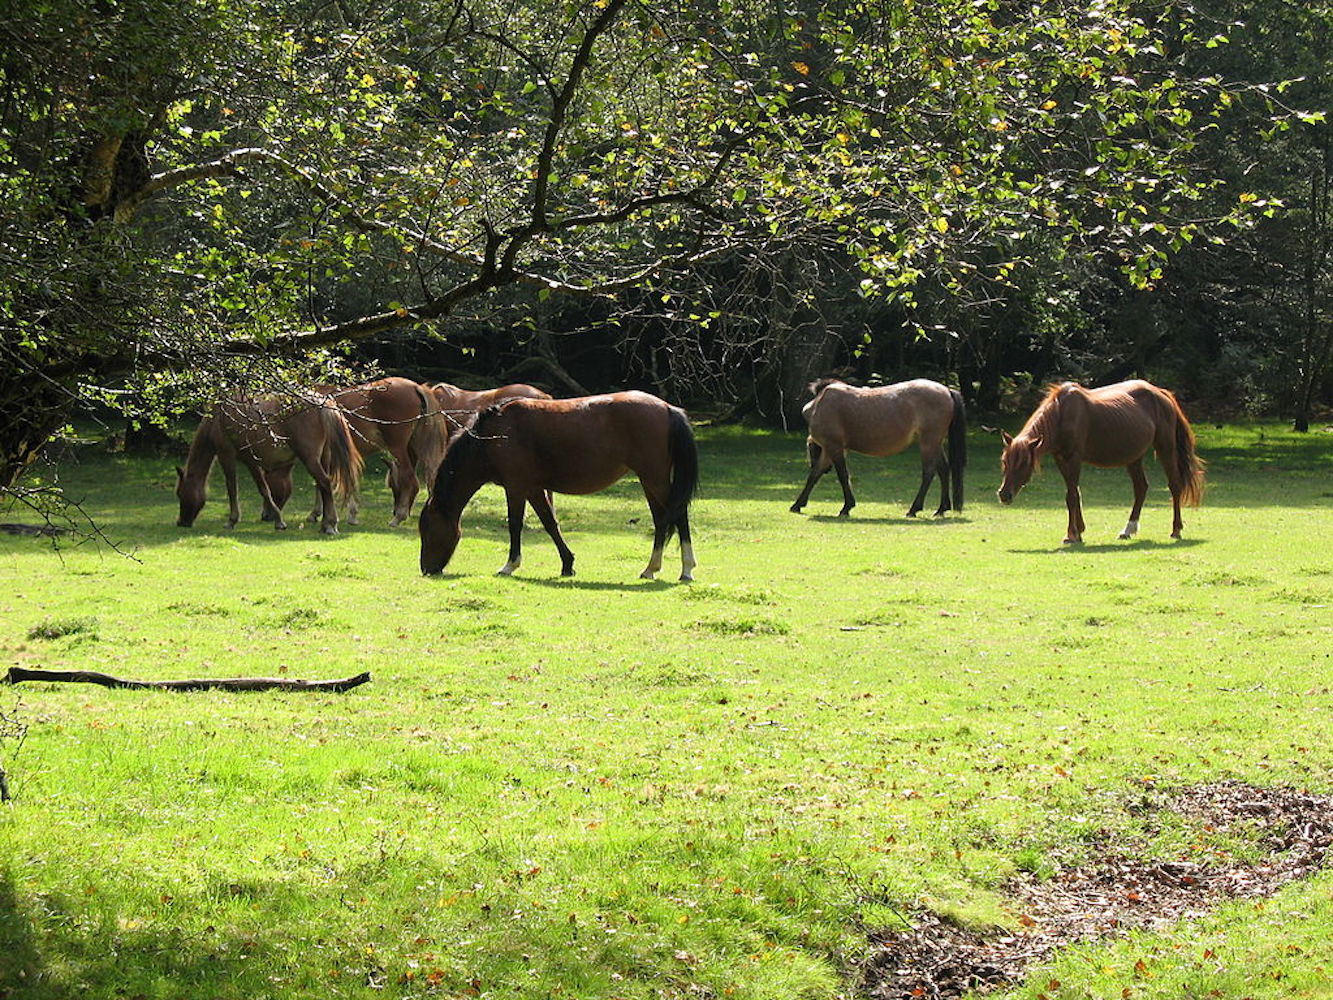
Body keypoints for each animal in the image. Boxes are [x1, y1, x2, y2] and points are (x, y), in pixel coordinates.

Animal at [179, 394, 365, 541]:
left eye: (180, 494)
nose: (181, 522)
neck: (217, 418)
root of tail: (320, 403)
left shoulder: (227, 455)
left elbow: (233, 489)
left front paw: (232, 520)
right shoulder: (251, 461)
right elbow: (264, 490)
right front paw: (278, 520)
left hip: (310, 460)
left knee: (325, 483)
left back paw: (330, 525)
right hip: (323, 458)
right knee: (323, 488)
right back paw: (325, 523)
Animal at [421, 392, 703, 578]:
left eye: (428, 530)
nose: (426, 569)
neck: (493, 437)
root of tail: (667, 408)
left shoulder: (516, 488)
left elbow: (515, 525)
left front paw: (509, 565)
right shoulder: (533, 489)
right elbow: (550, 523)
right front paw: (567, 564)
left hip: (654, 479)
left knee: (678, 515)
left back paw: (686, 569)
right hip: (650, 481)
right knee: (662, 520)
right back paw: (651, 568)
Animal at [789, 378, 970, 525]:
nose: (828, 470)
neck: (819, 405)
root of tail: (947, 390)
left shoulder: (834, 447)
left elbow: (842, 476)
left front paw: (847, 507)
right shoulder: (829, 449)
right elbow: (814, 475)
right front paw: (798, 504)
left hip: (928, 442)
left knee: (929, 472)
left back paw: (913, 509)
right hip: (935, 443)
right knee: (943, 470)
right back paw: (941, 509)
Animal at [1002, 378, 1210, 549]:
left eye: (1024, 463)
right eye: (1004, 461)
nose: (1004, 495)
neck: (1061, 414)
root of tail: (1161, 393)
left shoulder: (1074, 458)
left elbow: (1071, 496)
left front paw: (1071, 534)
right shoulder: (1061, 459)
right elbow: (1075, 493)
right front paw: (1079, 531)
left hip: (1165, 448)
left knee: (1174, 486)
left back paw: (1176, 530)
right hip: (1134, 457)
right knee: (1141, 488)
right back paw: (1128, 530)